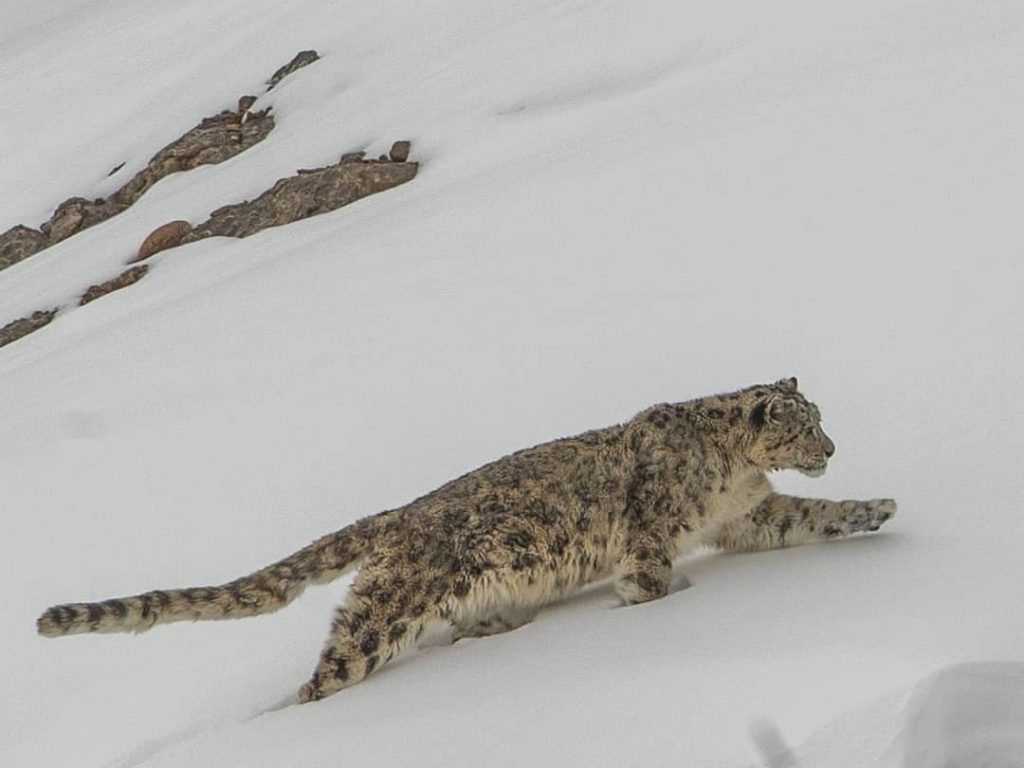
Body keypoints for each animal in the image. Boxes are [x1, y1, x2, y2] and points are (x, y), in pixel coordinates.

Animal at [36, 378, 892, 704]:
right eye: (806, 424)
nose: (832, 447)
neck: (732, 475)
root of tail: (393, 517)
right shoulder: (652, 527)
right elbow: (646, 574)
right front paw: (650, 602)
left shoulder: (751, 515)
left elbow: (810, 518)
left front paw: (873, 510)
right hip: (380, 616)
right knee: (330, 670)